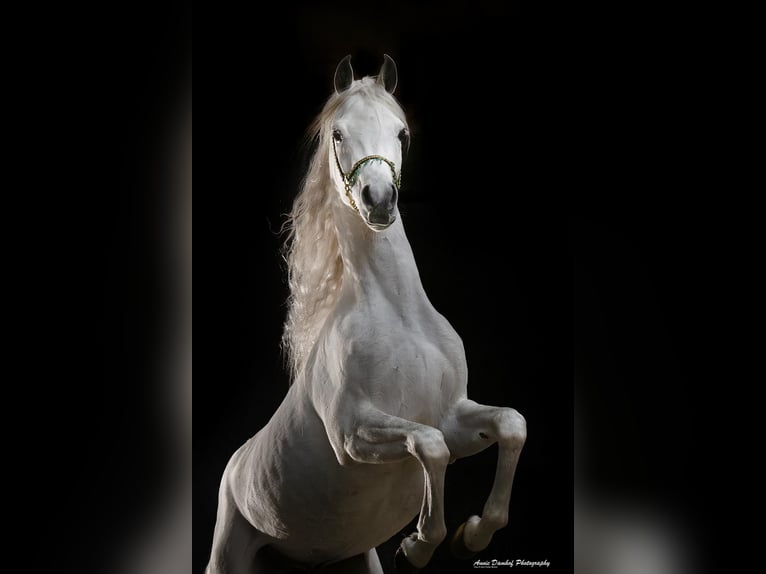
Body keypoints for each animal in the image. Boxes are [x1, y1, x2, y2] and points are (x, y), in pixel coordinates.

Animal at [206, 55, 527, 574]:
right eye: (338, 133)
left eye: (402, 133)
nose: (379, 199)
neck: (400, 317)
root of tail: (235, 463)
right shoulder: (354, 434)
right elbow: (430, 447)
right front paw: (418, 546)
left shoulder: (454, 415)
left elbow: (510, 425)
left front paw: (470, 535)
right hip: (226, 556)